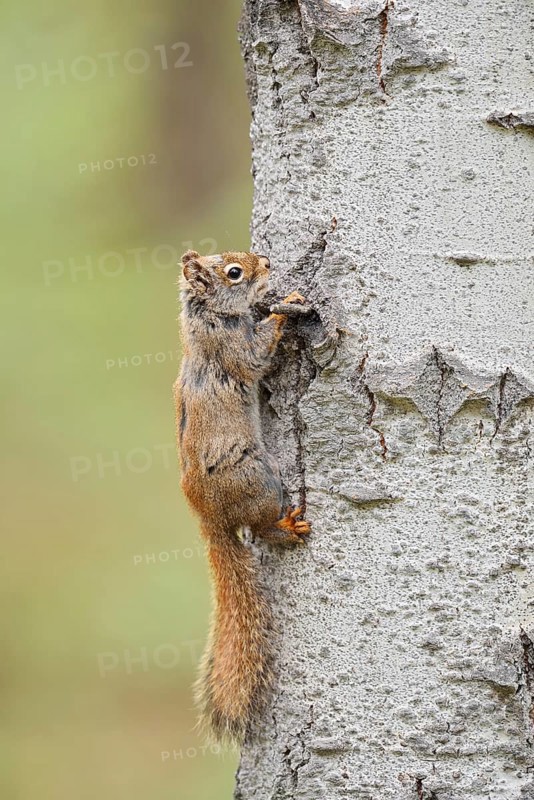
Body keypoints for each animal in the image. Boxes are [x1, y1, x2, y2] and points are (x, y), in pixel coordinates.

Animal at [173, 249, 311, 744]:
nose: (266, 262)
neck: (209, 317)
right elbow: (254, 359)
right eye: (234, 273)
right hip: (261, 480)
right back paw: (287, 527)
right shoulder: (231, 349)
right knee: (261, 527)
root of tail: (209, 518)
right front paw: (285, 309)